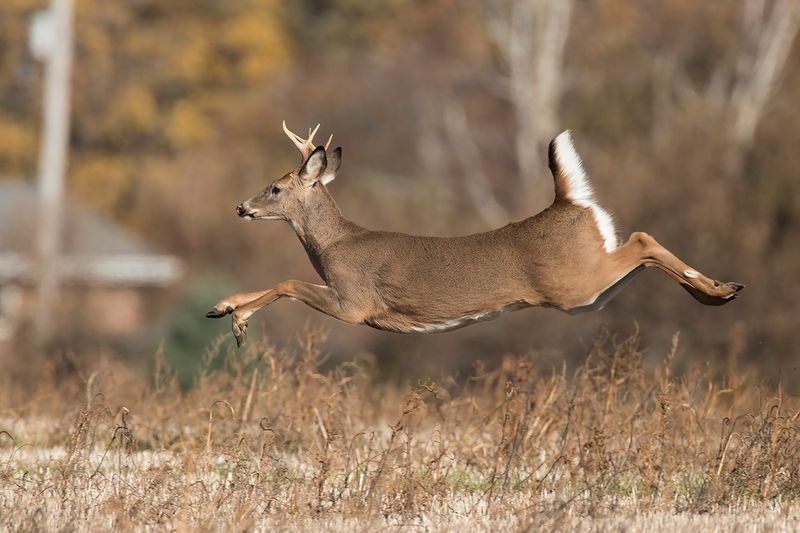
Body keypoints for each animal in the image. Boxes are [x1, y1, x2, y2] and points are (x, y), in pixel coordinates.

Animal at [208, 122, 744, 348]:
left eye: (275, 187)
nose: (240, 206)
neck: (335, 245)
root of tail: (566, 203)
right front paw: (224, 307)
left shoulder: (355, 303)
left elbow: (288, 283)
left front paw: (237, 319)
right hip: (590, 294)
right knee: (640, 249)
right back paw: (717, 291)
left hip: (575, 284)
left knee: (643, 238)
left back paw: (720, 290)